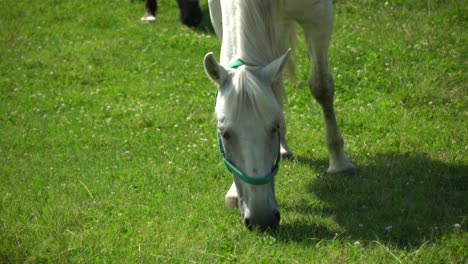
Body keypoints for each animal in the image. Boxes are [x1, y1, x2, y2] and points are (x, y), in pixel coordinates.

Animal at [204, 0, 354, 230]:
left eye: (273, 127)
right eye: (224, 133)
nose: (261, 220)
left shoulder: (319, 15)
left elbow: (321, 86)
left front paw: (339, 163)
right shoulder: (216, 12)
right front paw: (233, 192)